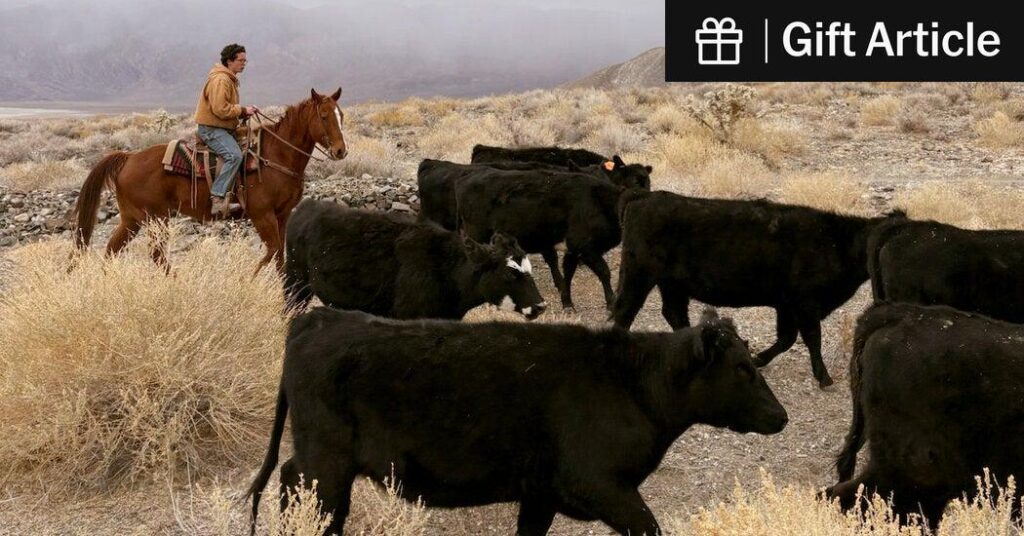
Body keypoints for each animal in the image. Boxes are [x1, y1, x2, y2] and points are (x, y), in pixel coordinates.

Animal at [246, 307, 788, 536]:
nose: (780, 416)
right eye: (743, 368)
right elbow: (649, 528)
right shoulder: (602, 485)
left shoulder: (540, 494)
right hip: (326, 462)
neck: (634, 384)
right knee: (301, 493)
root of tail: (320, 316)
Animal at [284, 199, 546, 320]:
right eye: (510, 272)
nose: (540, 306)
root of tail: (307, 205)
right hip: (295, 285)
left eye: (529, 269)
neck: (446, 268)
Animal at [455, 167, 646, 310]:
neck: (600, 203)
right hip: (477, 234)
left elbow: (568, 274)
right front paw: (611, 302)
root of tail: (467, 178)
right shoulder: (586, 248)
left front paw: (567, 303)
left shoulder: (572, 250)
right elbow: (604, 272)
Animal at [612, 191, 902, 388]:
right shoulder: (805, 304)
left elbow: (787, 339)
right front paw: (824, 378)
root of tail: (644, 197)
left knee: (673, 314)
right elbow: (811, 337)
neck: (835, 242)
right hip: (640, 276)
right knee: (626, 311)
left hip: (672, 285)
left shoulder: (786, 306)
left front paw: (758, 360)